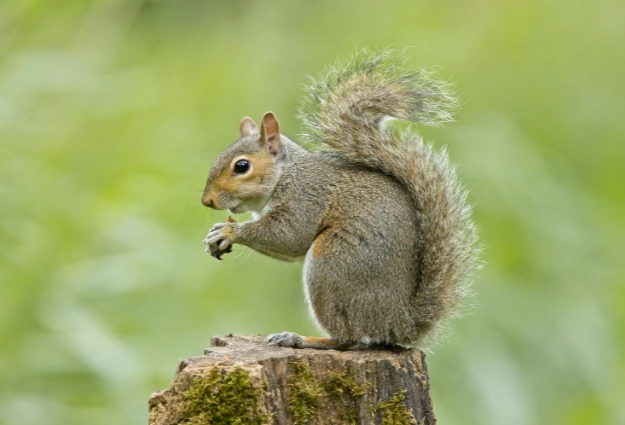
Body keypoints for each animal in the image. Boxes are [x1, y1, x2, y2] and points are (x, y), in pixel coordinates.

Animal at [200, 48, 478, 348]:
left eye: (242, 166)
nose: (207, 201)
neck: (286, 174)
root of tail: (397, 324)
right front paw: (217, 234)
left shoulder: (305, 199)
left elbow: (290, 237)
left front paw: (229, 231)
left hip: (332, 263)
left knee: (348, 338)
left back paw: (300, 338)